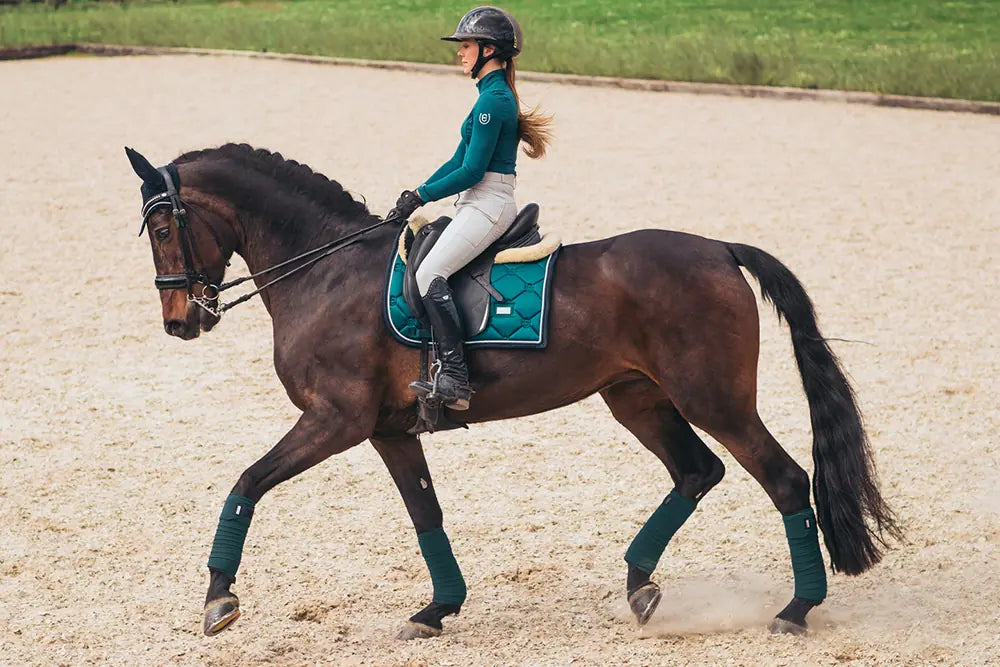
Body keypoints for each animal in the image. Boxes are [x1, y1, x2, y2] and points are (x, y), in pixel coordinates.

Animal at [123, 144, 900, 640]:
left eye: (161, 226)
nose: (179, 320)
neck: (325, 269)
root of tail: (718, 248)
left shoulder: (335, 419)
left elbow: (245, 483)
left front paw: (219, 599)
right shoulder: (388, 430)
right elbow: (425, 515)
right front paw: (438, 609)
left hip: (715, 401)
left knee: (784, 479)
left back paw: (795, 609)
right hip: (637, 397)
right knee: (696, 471)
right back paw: (640, 583)